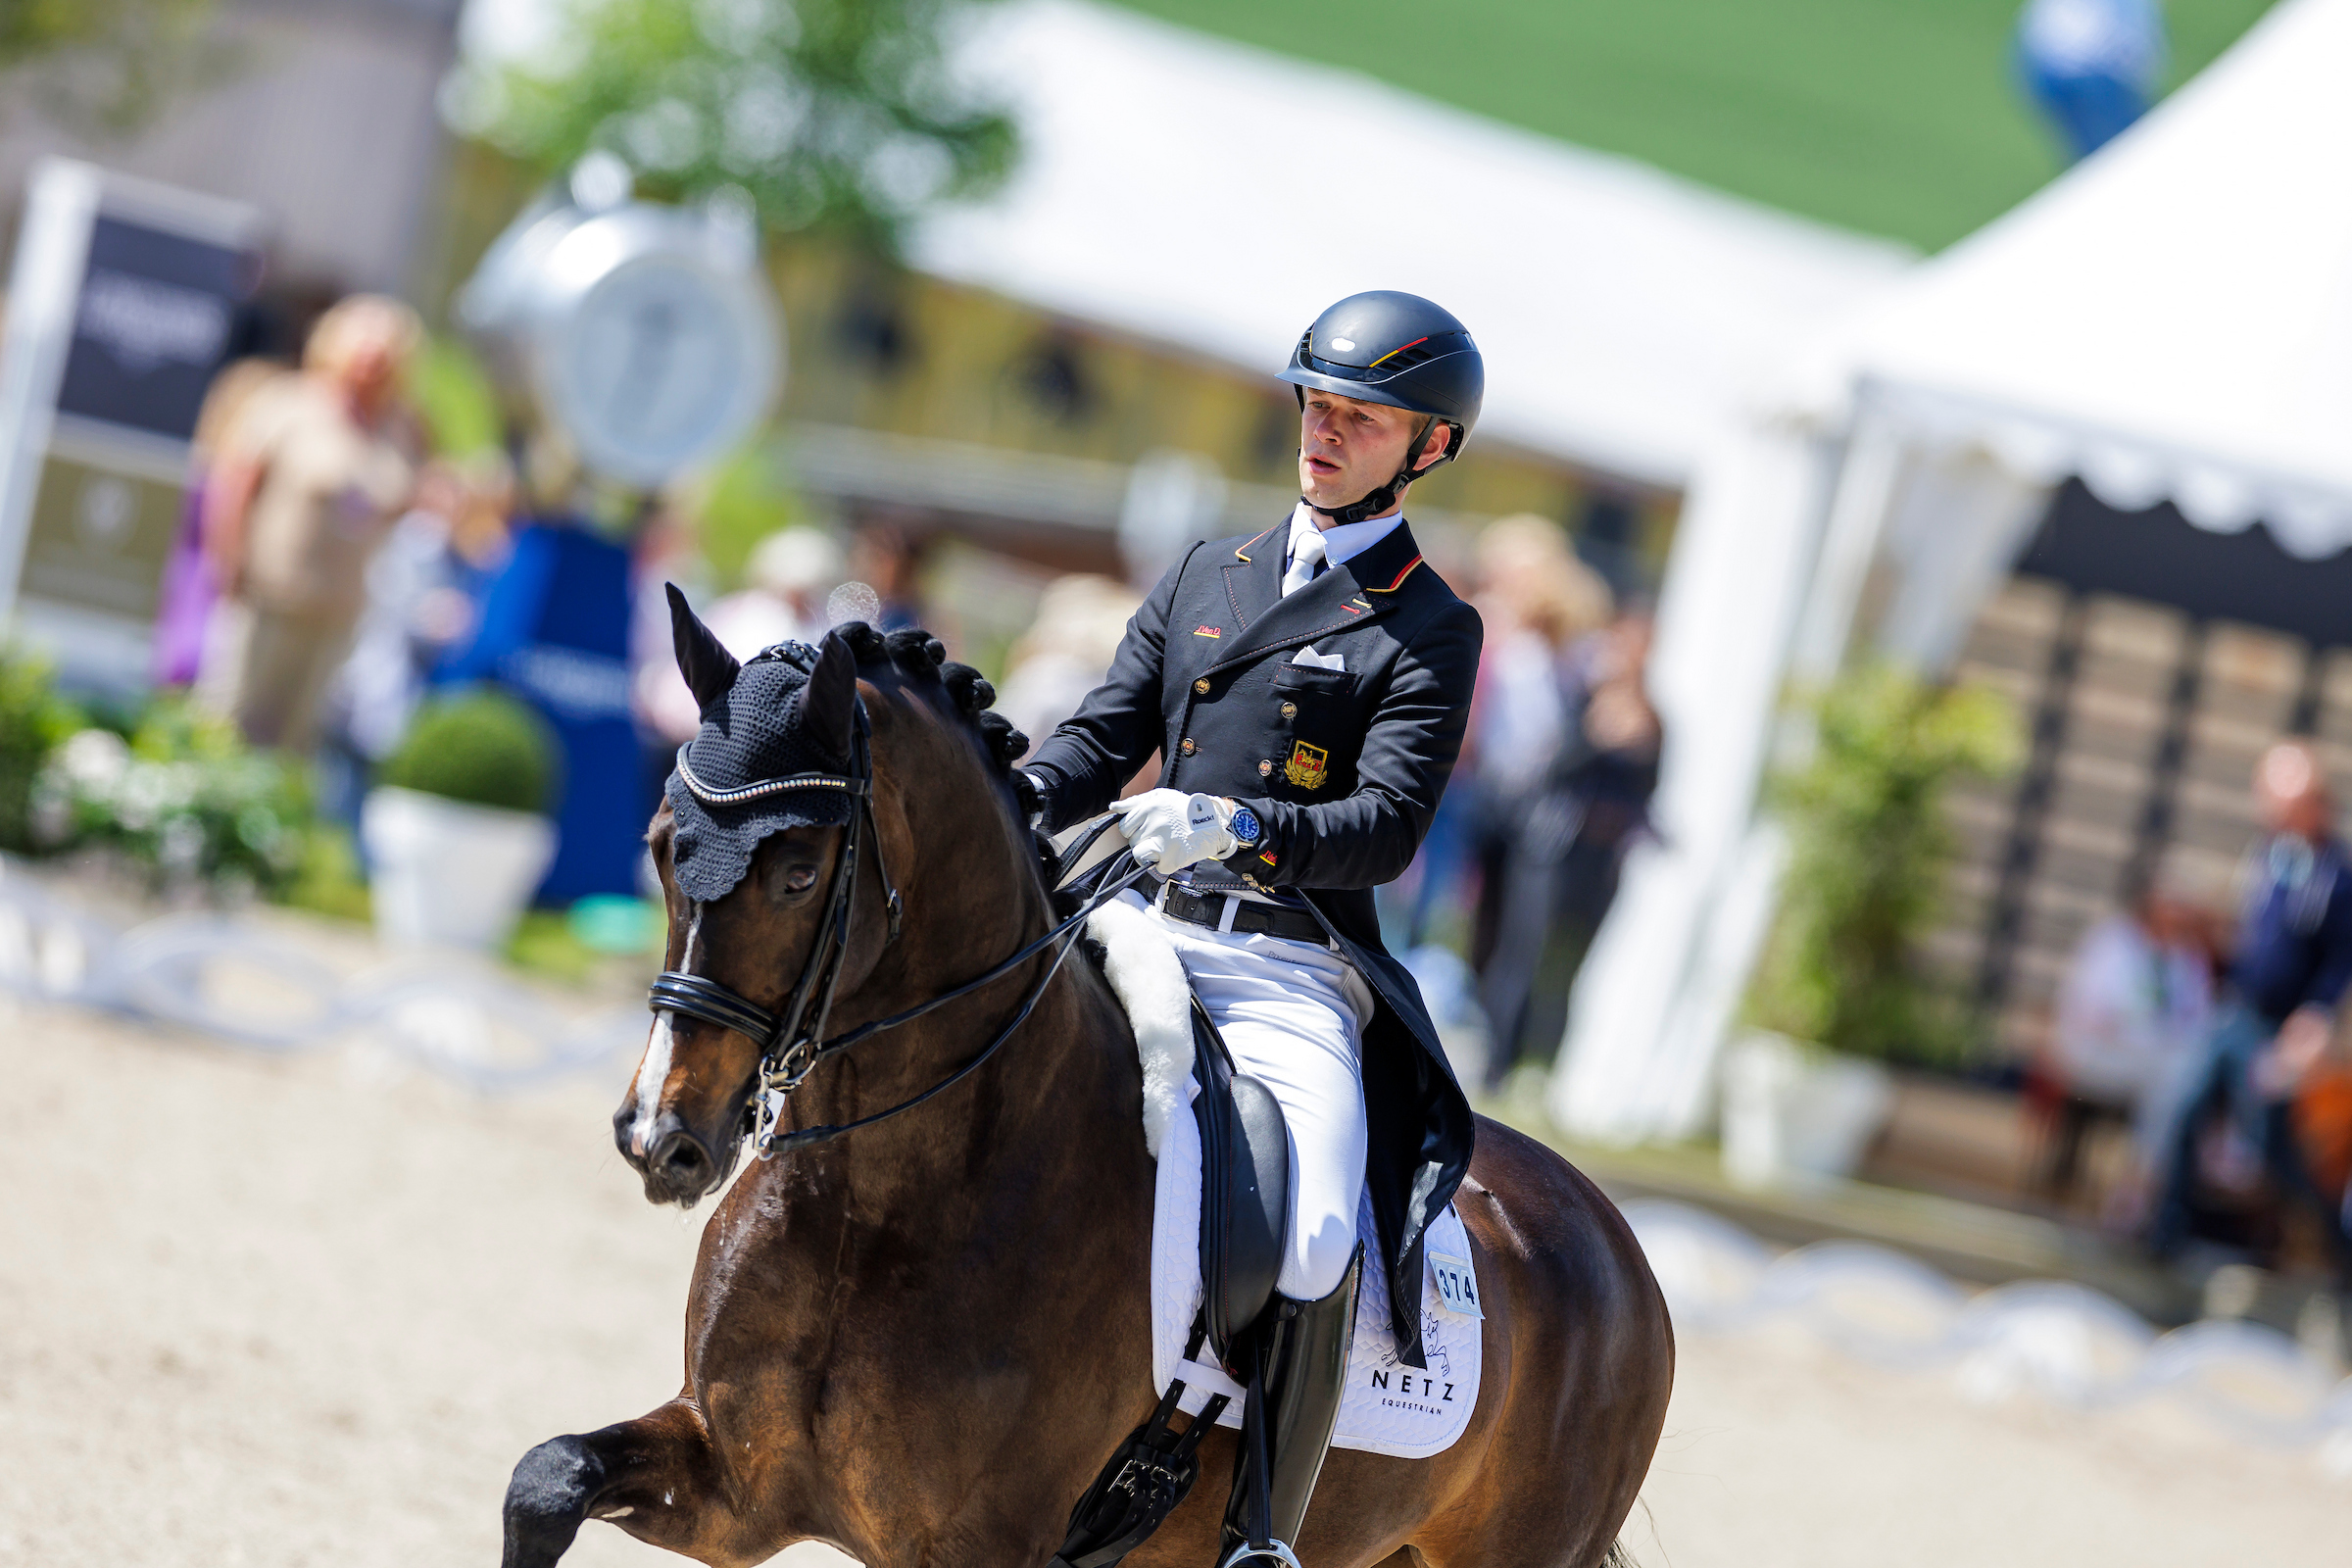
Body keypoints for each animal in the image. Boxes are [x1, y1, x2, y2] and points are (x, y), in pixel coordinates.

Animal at [502, 620, 1673, 1568]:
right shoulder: (736, 1487)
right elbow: (545, 1477)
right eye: (663, 848)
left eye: (797, 874)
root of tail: (1621, 1250)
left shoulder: (972, 1547)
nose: (660, 1137)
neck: (880, 1197)